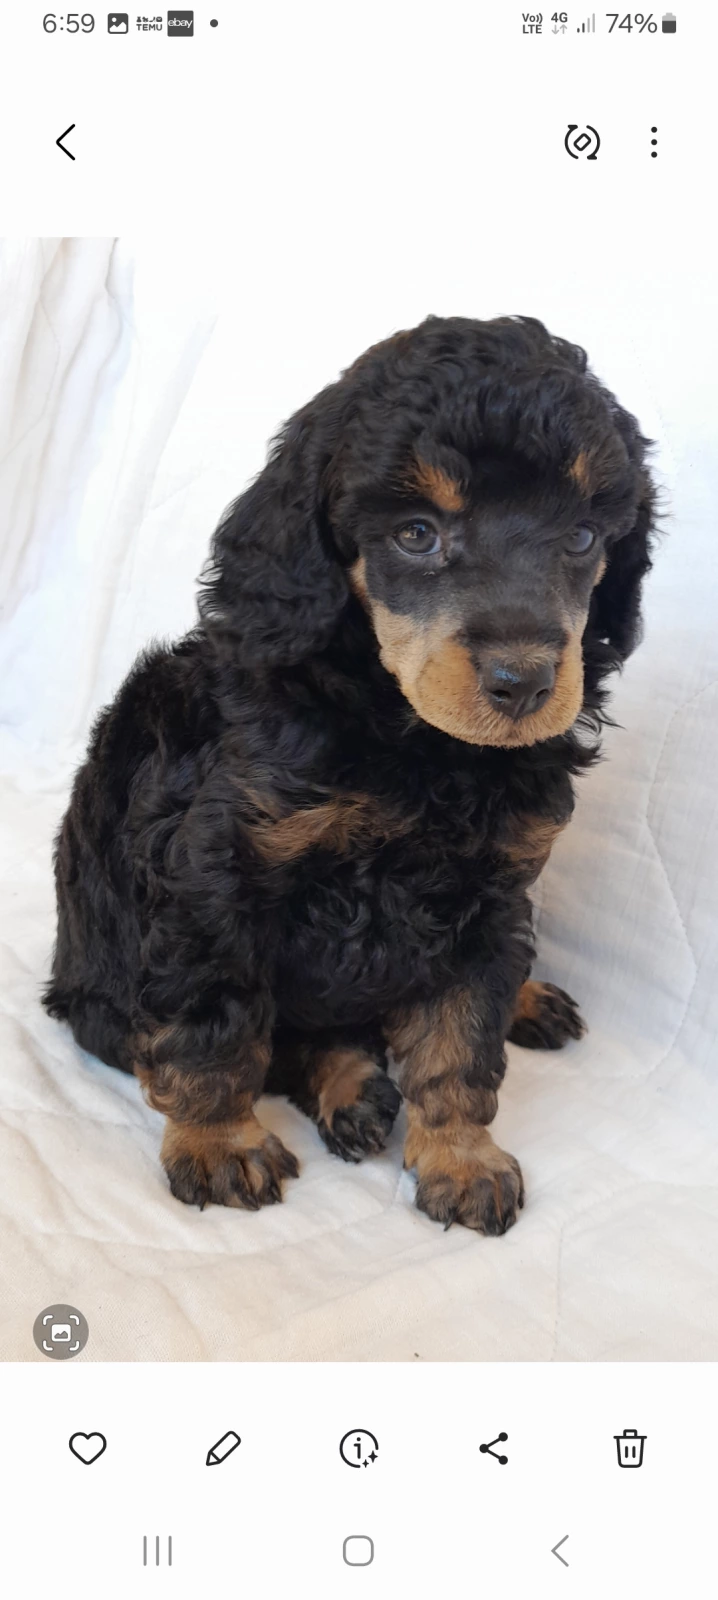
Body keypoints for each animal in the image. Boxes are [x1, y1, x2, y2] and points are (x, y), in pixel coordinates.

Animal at [42, 315, 656, 1235]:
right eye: (417, 533)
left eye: (582, 539)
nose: (524, 685)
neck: (414, 747)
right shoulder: (215, 875)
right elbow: (217, 1021)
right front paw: (220, 1142)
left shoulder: (489, 887)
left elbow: (462, 1031)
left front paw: (459, 1156)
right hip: (99, 994)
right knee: (275, 1039)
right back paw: (350, 1086)